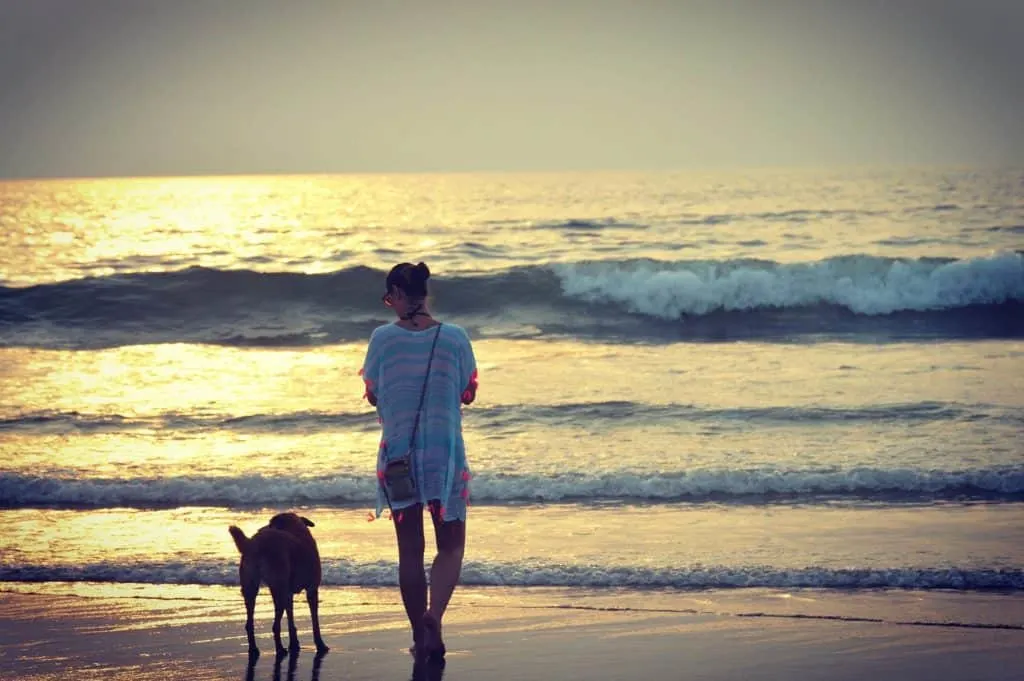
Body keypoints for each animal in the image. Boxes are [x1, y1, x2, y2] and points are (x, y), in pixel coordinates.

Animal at [228, 512, 327, 655]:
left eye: (270, 523)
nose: (260, 528)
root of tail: (254, 544)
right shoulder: (312, 589)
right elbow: (315, 621)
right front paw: (319, 644)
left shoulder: (289, 593)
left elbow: (290, 617)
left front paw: (294, 643)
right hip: (279, 583)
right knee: (276, 622)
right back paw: (281, 649)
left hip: (250, 584)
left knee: (250, 621)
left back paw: (255, 649)